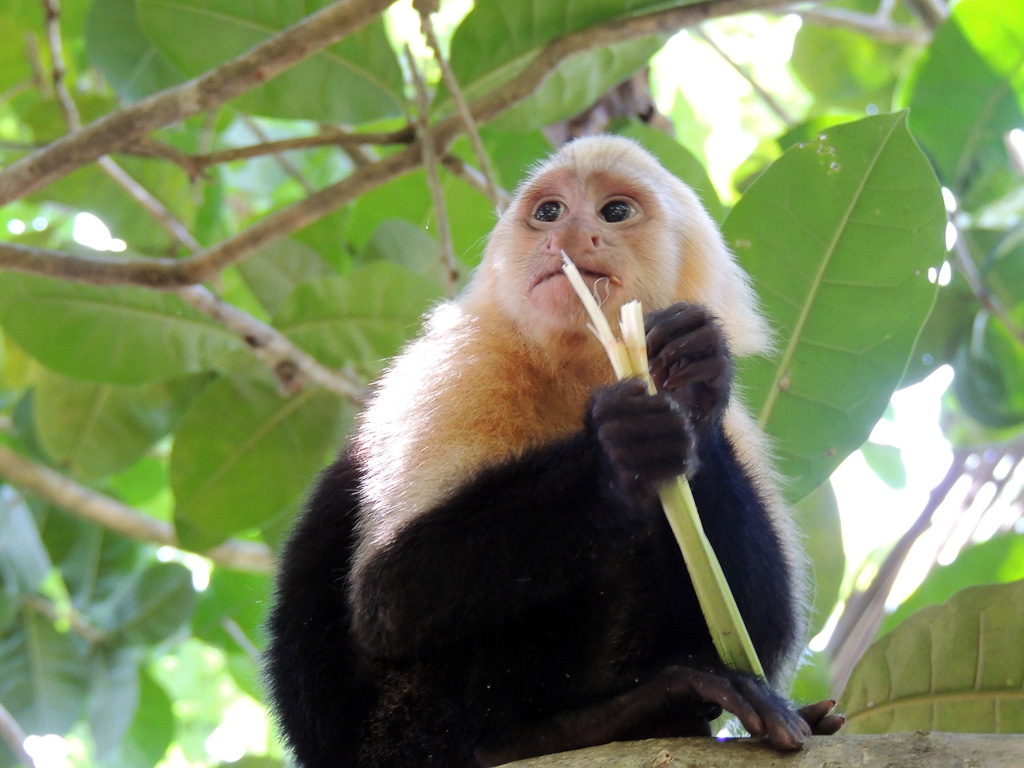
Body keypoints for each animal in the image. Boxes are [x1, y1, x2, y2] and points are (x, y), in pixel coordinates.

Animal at [264, 135, 839, 765]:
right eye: (549, 212)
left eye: (615, 212)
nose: (565, 236)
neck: (582, 370)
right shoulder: (463, 365)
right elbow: (388, 596)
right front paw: (616, 459)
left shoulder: (736, 422)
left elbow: (759, 628)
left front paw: (693, 381)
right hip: (393, 728)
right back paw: (540, 734)